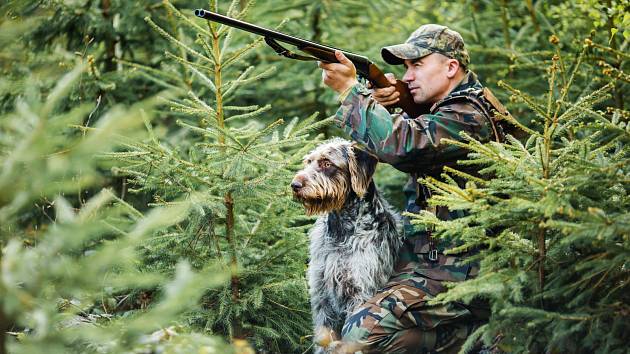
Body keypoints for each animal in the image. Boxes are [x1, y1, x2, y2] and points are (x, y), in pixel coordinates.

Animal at [290, 138, 402, 352]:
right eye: (308, 161)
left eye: (327, 163)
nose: (295, 184)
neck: (341, 231)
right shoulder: (321, 295)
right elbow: (323, 341)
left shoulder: (360, 294)